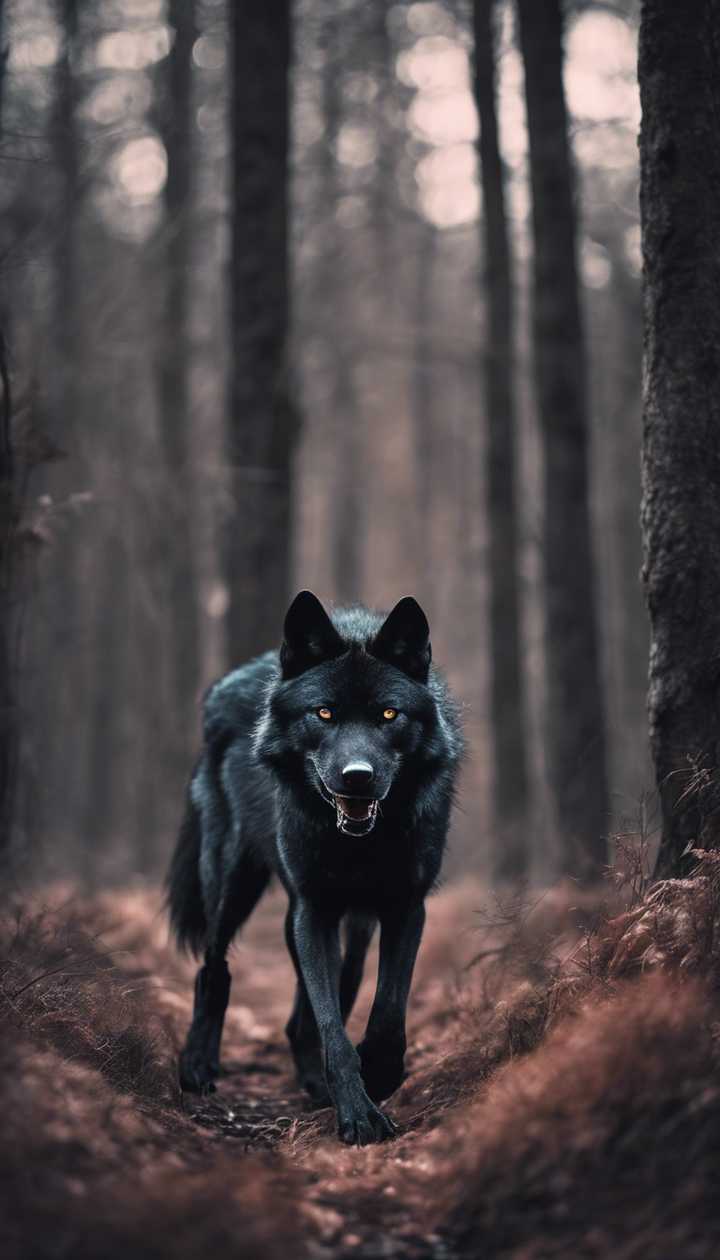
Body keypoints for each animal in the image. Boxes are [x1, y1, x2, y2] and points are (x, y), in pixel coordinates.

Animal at [167, 590, 463, 1145]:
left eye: (389, 714)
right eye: (323, 713)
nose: (357, 777)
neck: (360, 842)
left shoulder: (403, 907)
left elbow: (385, 1013)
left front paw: (379, 1075)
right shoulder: (316, 908)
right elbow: (332, 1027)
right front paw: (359, 1114)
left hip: (339, 924)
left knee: (325, 995)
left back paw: (313, 1079)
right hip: (235, 883)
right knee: (213, 966)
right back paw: (198, 1065)